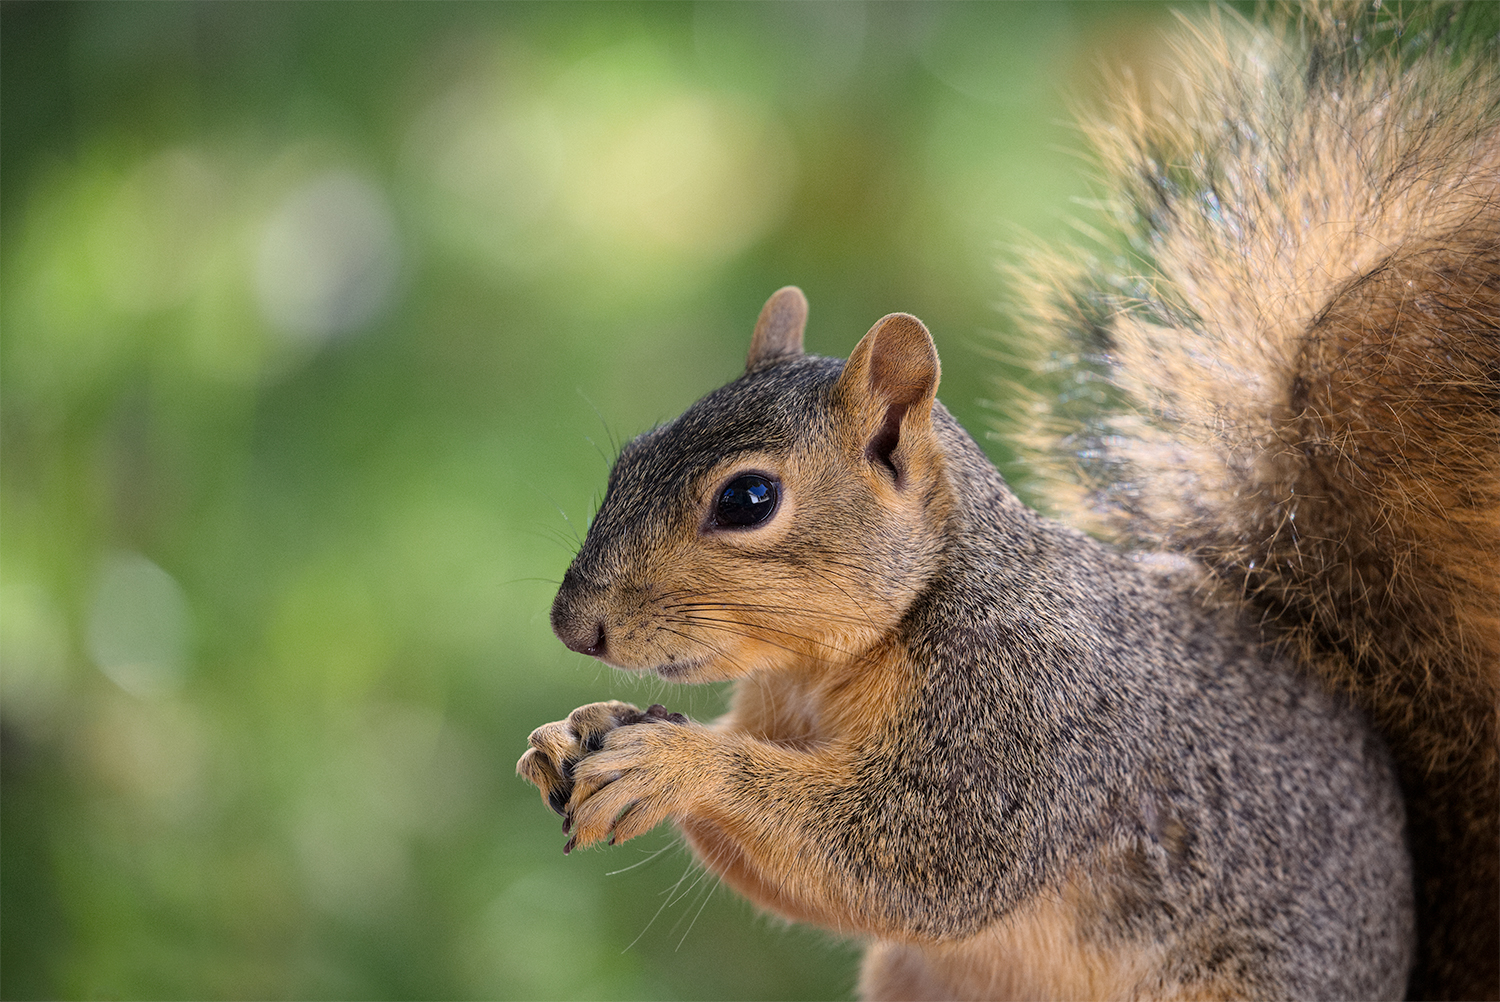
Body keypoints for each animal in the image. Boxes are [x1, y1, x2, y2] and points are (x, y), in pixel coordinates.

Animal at [518, 5, 1498, 1001]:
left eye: (749, 498)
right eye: (629, 458)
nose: (572, 626)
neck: (838, 660)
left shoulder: (1023, 715)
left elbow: (922, 865)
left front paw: (680, 763)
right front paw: (575, 731)